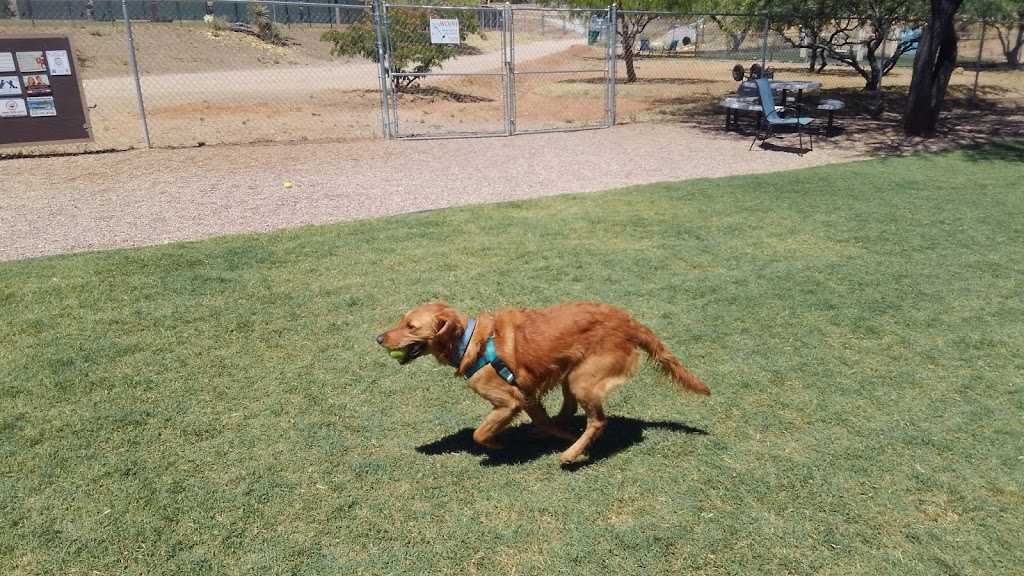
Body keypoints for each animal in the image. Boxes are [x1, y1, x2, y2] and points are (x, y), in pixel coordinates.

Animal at [378, 301, 712, 461]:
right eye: (401, 320)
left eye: (410, 326)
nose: (379, 338)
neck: (472, 341)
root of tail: (631, 323)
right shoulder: (527, 395)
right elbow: (541, 417)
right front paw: (553, 432)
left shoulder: (508, 401)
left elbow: (478, 433)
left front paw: (497, 443)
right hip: (571, 373)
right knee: (568, 409)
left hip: (582, 378)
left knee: (597, 421)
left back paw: (571, 454)